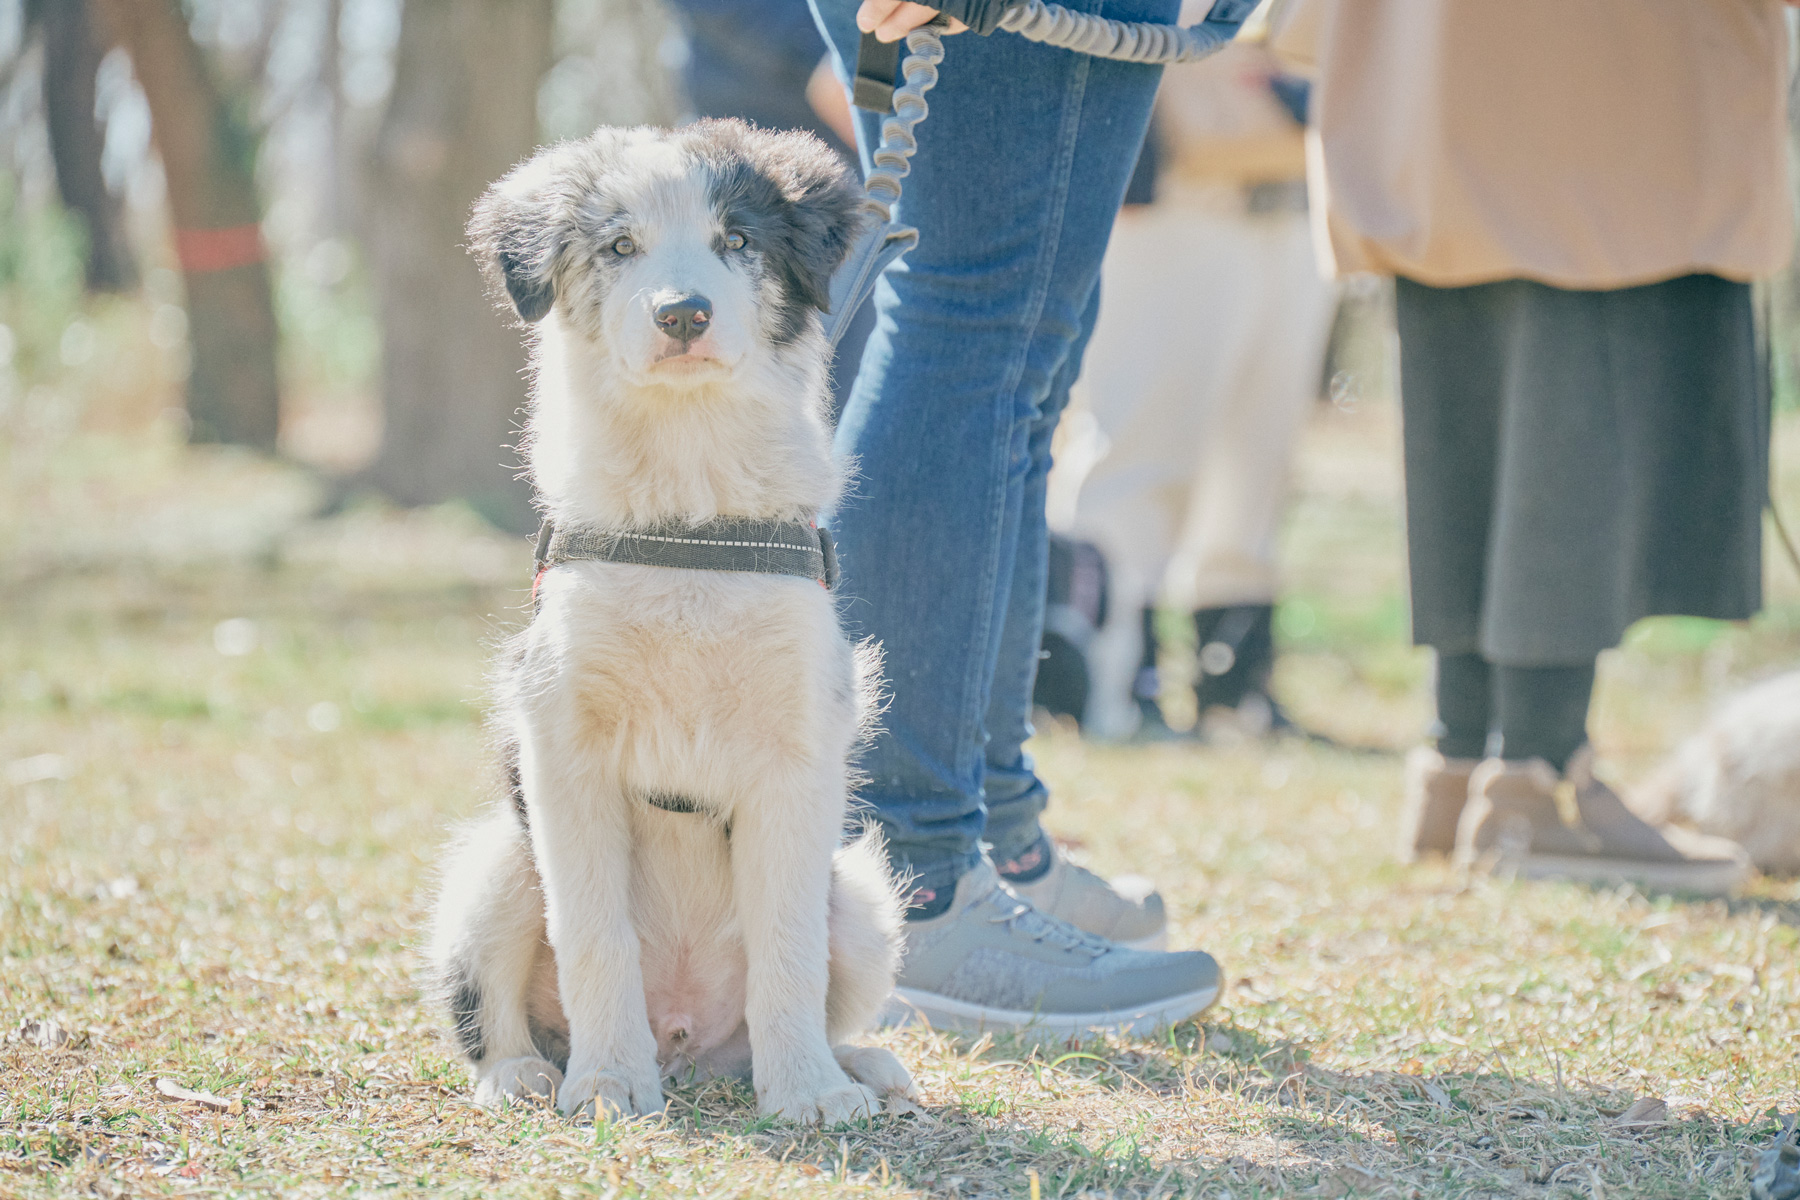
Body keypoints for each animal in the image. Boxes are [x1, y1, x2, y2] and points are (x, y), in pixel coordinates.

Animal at [428, 119, 914, 1129]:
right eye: (619, 247)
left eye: (738, 239)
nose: (682, 314)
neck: (689, 511)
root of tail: (690, 1044)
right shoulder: (563, 741)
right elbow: (593, 932)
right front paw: (611, 1082)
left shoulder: (798, 747)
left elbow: (788, 946)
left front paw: (809, 1092)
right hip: (496, 861)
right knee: (493, 1001)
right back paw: (524, 1072)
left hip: (861, 899)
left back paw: (854, 1066)